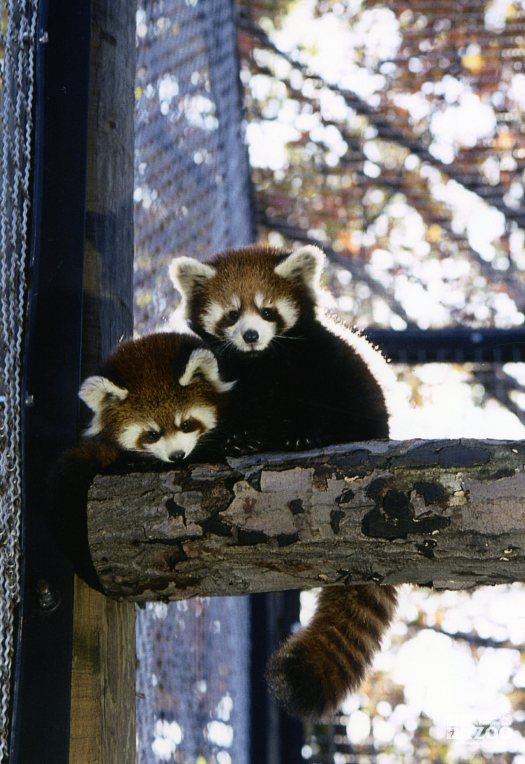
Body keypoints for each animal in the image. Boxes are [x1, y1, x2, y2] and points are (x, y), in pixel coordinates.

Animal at [170, 246, 396, 724]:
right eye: (232, 313)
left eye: (268, 310)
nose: (252, 335)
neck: (262, 364)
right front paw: (237, 440)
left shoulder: (322, 362)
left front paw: (301, 436)